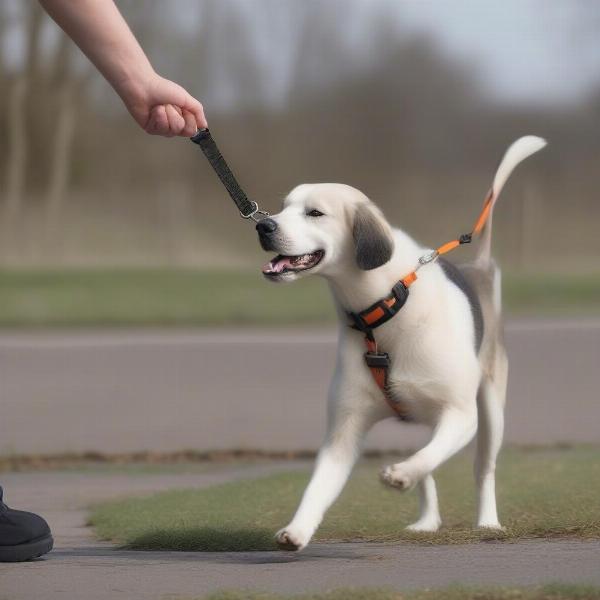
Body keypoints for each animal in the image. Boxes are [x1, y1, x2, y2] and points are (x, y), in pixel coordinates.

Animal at [255, 138, 548, 552]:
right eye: (283, 206)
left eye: (315, 212)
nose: (263, 225)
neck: (386, 310)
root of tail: (480, 269)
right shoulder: (344, 431)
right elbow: (319, 486)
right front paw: (297, 529)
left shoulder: (461, 415)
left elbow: (428, 459)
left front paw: (400, 475)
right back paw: (427, 522)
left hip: (491, 411)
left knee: (482, 468)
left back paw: (488, 522)